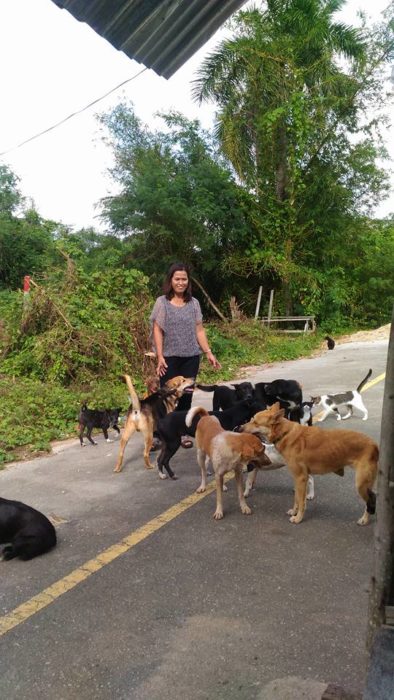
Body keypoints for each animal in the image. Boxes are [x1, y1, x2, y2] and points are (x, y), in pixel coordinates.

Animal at [239, 402, 378, 524]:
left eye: (255, 422)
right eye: (251, 419)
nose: (239, 428)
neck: (285, 434)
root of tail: (374, 444)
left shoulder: (301, 478)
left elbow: (301, 502)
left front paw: (298, 518)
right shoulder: (298, 478)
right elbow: (296, 499)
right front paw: (294, 512)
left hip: (361, 485)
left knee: (371, 501)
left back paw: (364, 520)